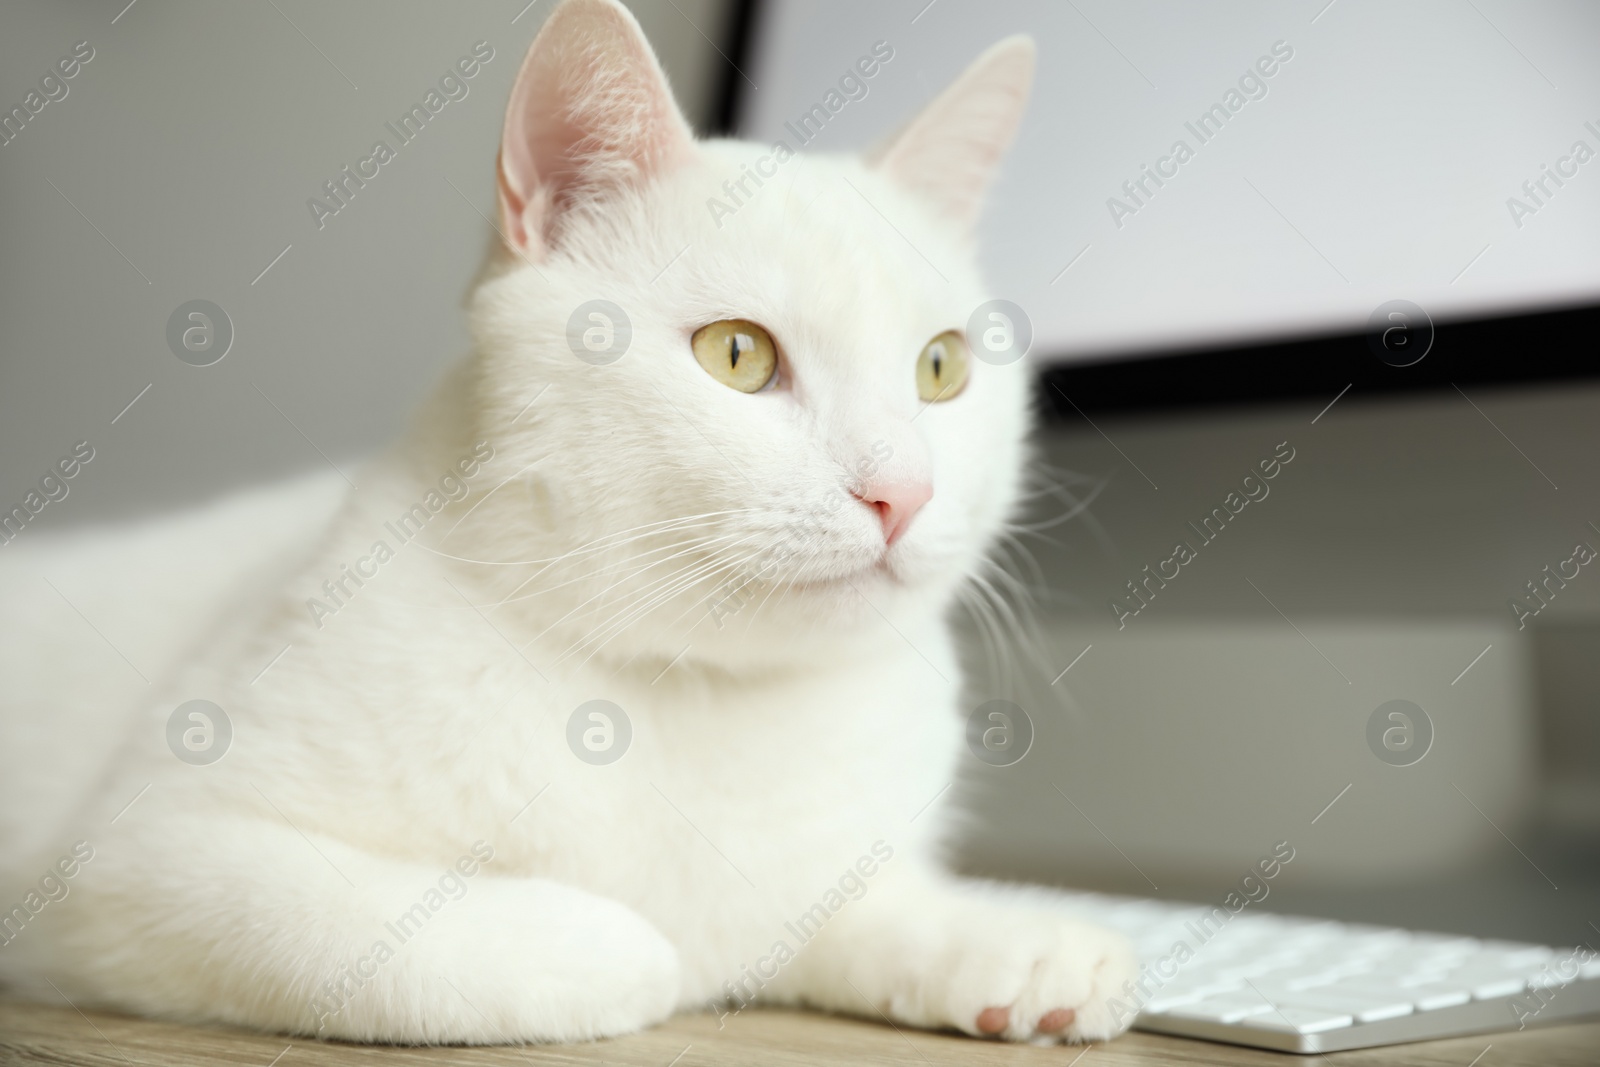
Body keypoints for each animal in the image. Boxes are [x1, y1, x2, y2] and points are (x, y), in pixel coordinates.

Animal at [0, 0, 1139, 1049]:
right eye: (737, 353)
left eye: (941, 367)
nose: (902, 491)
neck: (697, 694)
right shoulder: (145, 862)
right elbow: (516, 948)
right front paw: (635, 947)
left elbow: (861, 906)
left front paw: (1019, 942)